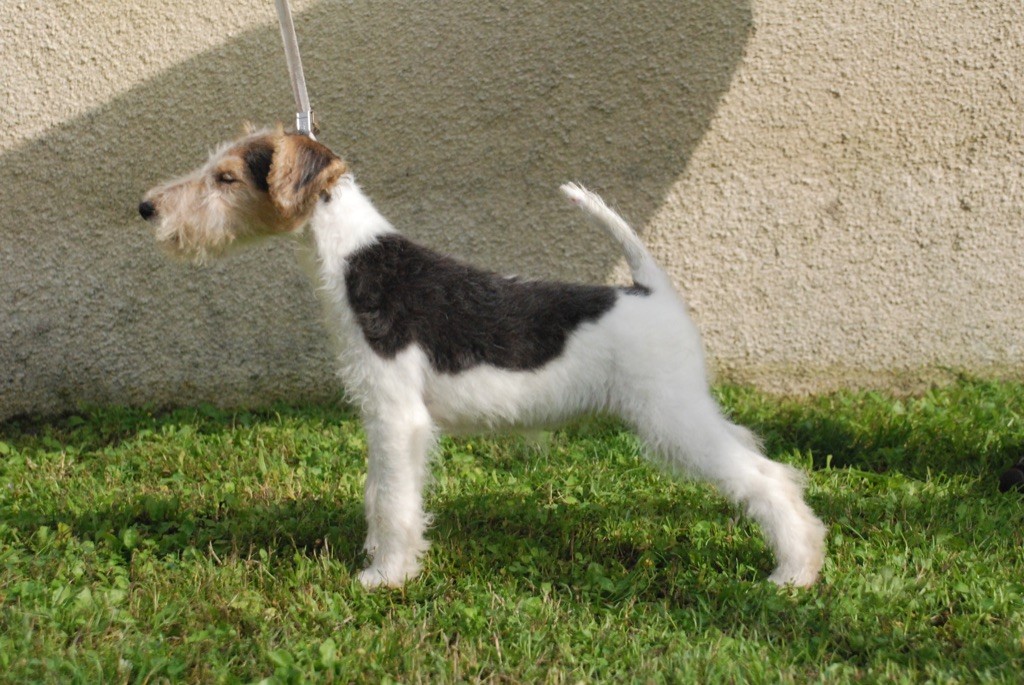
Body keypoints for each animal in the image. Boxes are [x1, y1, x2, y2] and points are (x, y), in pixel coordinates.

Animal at [139, 126, 826, 588]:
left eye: (226, 177)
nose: (147, 207)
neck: (353, 259)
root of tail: (649, 290)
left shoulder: (397, 416)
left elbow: (393, 500)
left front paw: (385, 577)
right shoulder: (384, 417)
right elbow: (383, 495)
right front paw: (384, 561)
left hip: (671, 417)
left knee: (765, 478)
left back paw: (794, 573)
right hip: (685, 410)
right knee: (767, 461)